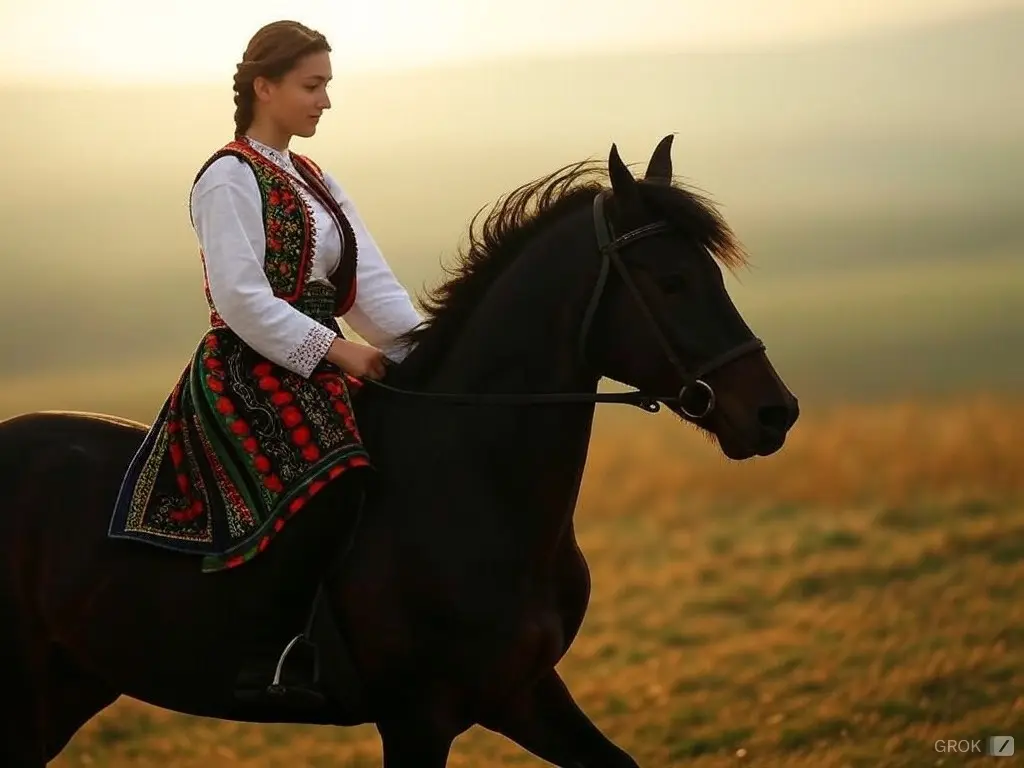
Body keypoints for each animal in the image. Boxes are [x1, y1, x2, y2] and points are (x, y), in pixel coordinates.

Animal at [0, 135, 798, 765]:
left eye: (712, 273)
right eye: (672, 281)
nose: (774, 413)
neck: (472, 488)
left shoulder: (523, 691)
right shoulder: (418, 716)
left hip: (66, 689)